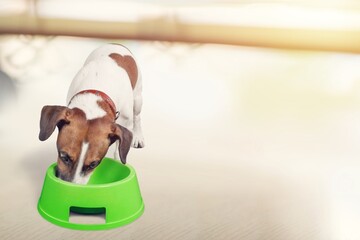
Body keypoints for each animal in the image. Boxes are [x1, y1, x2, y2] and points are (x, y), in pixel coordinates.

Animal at [37, 43, 143, 184]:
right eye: (64, 157)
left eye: (93, 164)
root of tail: (116, 44)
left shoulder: (126, 124)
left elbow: (119, 151)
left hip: (138, 98)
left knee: (137, 116)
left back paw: (138, 137)